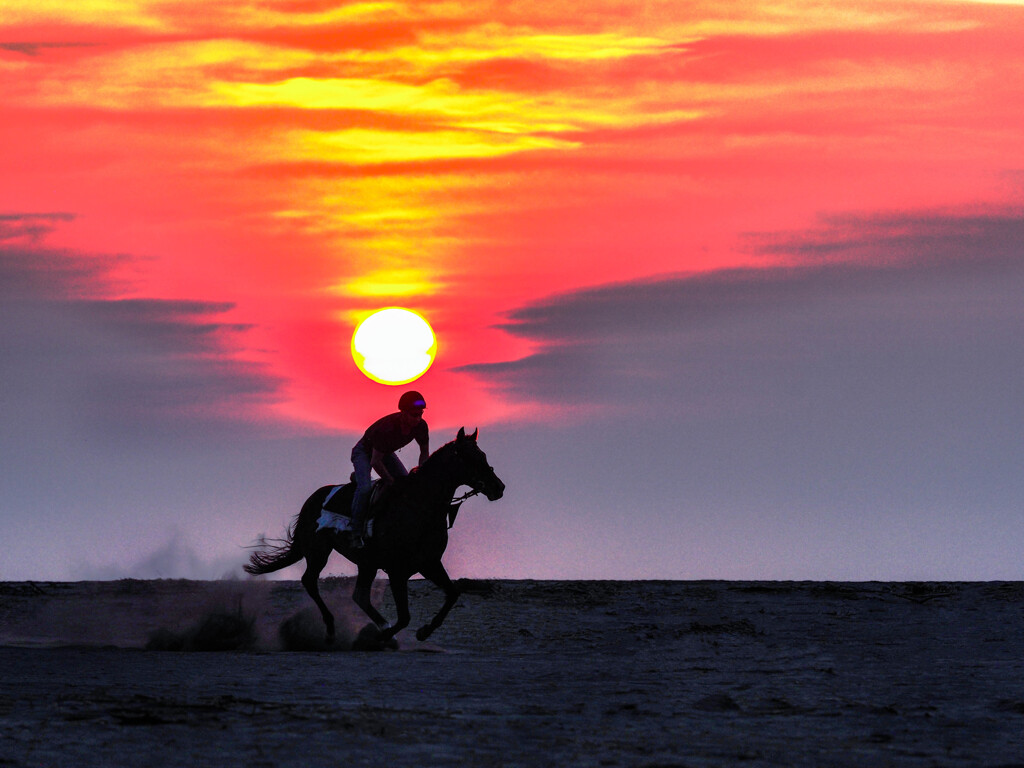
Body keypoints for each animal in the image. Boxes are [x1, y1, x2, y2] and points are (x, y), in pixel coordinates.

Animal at [244, 430, 507, 647]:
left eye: (482, 454)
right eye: (470, 457)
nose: (498, 487)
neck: (419, 505)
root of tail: (312, 500)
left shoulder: (429, 563)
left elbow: (452, 594)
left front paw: (423, 631)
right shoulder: (397, 570)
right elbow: (405, 616)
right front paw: (382, 637)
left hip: (366, 563)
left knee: (359, 595)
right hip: (319, 551)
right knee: (310, 581)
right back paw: (331, 631)